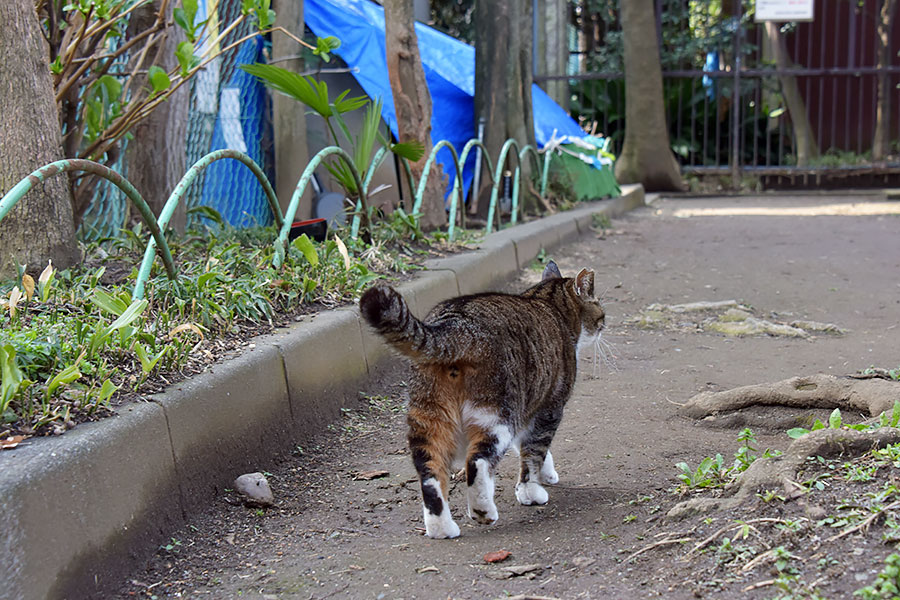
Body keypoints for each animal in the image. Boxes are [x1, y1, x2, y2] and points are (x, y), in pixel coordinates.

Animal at [358, 262, 604, 540]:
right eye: (600, 310)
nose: (603, 324)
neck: (548, 305)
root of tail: (456, 324)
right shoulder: (548, 408)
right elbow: (534, 453)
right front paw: (530, 492)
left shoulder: (529, 408)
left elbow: (530, 447)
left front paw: (547, 474)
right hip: (497, 415)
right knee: (477, 462)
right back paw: (482, 510)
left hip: (429, 418)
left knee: (429, 472)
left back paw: (442, 528)